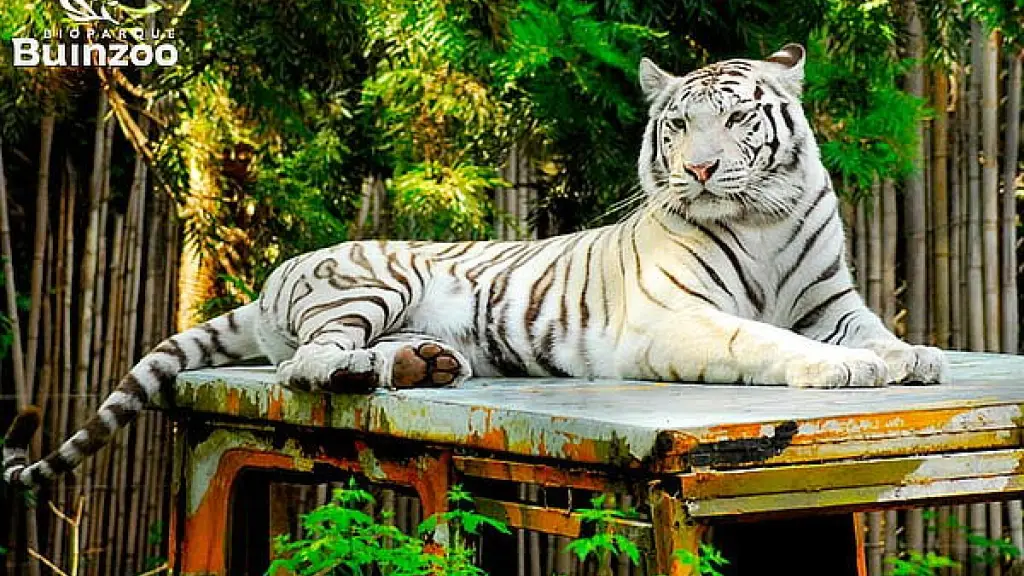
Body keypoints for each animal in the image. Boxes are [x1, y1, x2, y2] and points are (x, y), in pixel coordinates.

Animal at [3, 43, 949, 488]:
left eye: (738, 120)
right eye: (678, 126)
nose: (701, 170)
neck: (759, 218)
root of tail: (277, 272)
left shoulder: (830, 295)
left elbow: (868, 325)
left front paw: (910, 355)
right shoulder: (674, 317)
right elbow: (761, 339)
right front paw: (845, 370)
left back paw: (421, 364)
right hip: (370, 282)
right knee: (304, 362)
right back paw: (360, 371)